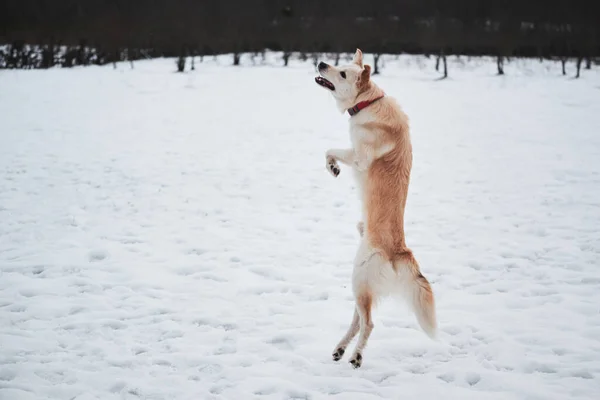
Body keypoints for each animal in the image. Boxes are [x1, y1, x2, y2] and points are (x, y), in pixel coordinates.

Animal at [314, 48, 436, 368]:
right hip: (361, 284)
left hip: (359, 277)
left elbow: (331, 150)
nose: (321, 63)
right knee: (358, 320)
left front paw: (332, 167)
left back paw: (356, 356)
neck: (368, 101)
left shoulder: (359, 156)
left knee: (368, 323)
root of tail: (399, 251)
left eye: (343, 73)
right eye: (339, 64)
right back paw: (340, 349)